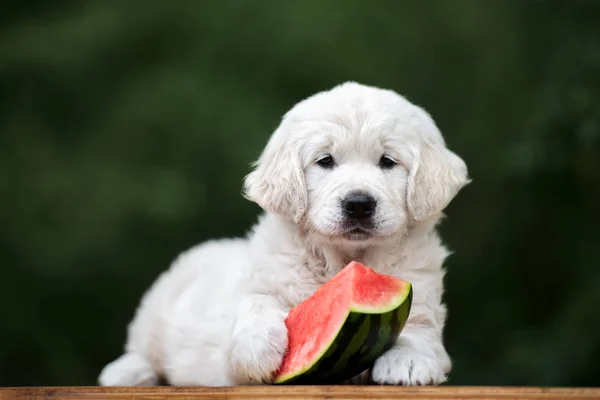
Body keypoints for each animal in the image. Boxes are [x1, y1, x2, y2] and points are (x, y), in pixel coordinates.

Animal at [97, 82, 468, 388]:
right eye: (325, 160)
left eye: (388, 161)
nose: (359, 204)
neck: (342, 259)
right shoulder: (255, 295)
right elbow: (255, 303)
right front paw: (258, 349)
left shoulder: (419, 292)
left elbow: (419, 329)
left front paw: (408, 361)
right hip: (158, 306)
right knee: (142, 347)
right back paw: (127, 372)